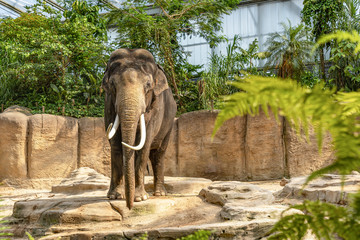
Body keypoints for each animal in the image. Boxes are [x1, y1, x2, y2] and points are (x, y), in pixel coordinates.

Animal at [101, 48, 177, 208]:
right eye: (112, 84)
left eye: (148, 85)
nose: (129, 207)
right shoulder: (108, 103)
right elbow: (115, 144)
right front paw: (115, 196)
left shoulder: (155, 108)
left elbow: (144, 144)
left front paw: (140, 198)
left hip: (169, 123)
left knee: (158, 153)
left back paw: (160, 193)